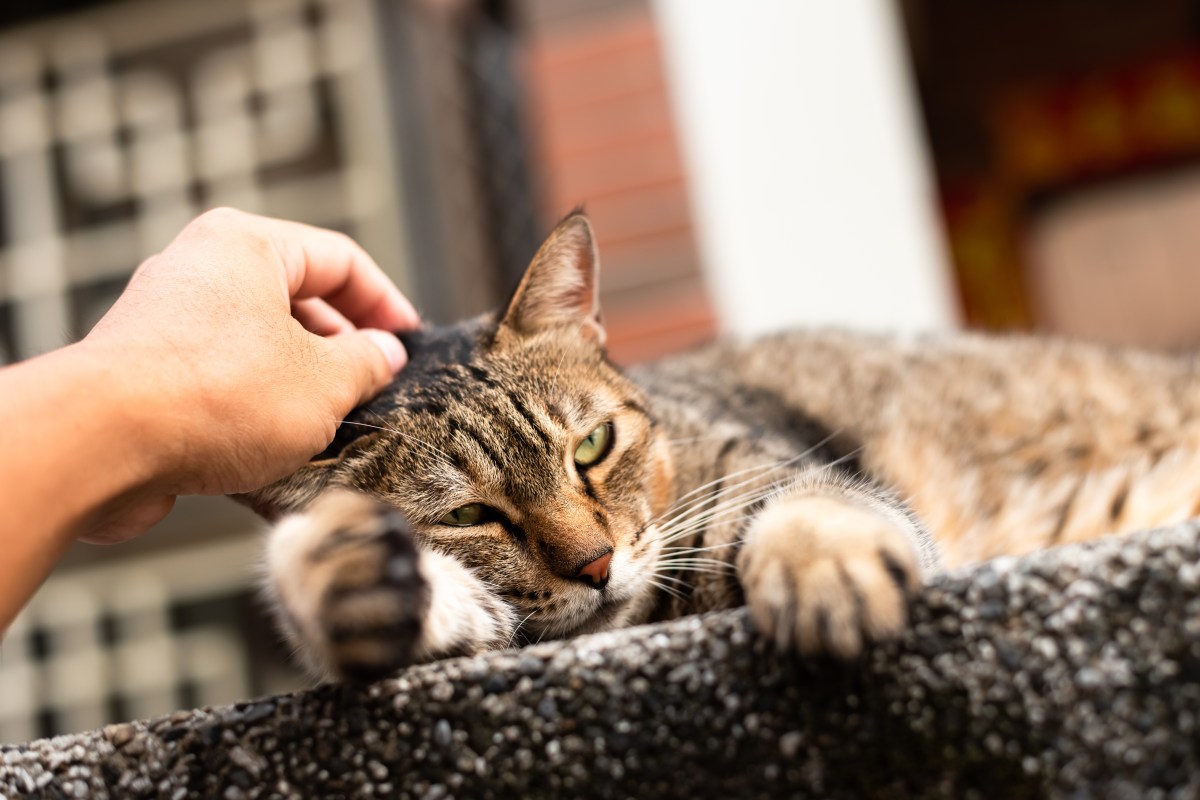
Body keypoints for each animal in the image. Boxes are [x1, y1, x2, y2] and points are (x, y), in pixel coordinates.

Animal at [241, 211, 1200, 681]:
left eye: (592, 446)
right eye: (472, 515)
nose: (595, 566)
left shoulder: (776, 468)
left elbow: (813, 503)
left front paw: (824, 568)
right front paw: (335, 573)